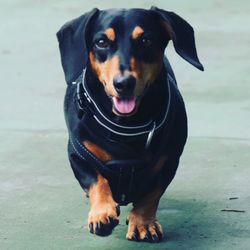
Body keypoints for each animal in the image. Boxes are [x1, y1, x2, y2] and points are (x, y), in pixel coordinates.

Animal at [56, 6, 203, 242]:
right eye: (101, 42)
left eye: (146, 40)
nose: (124, 84)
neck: (124, 127)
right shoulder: (78, 154)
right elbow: (96, 180)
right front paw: (102, 213)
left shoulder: (169, 161)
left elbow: (151, 194)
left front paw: (143, 223)